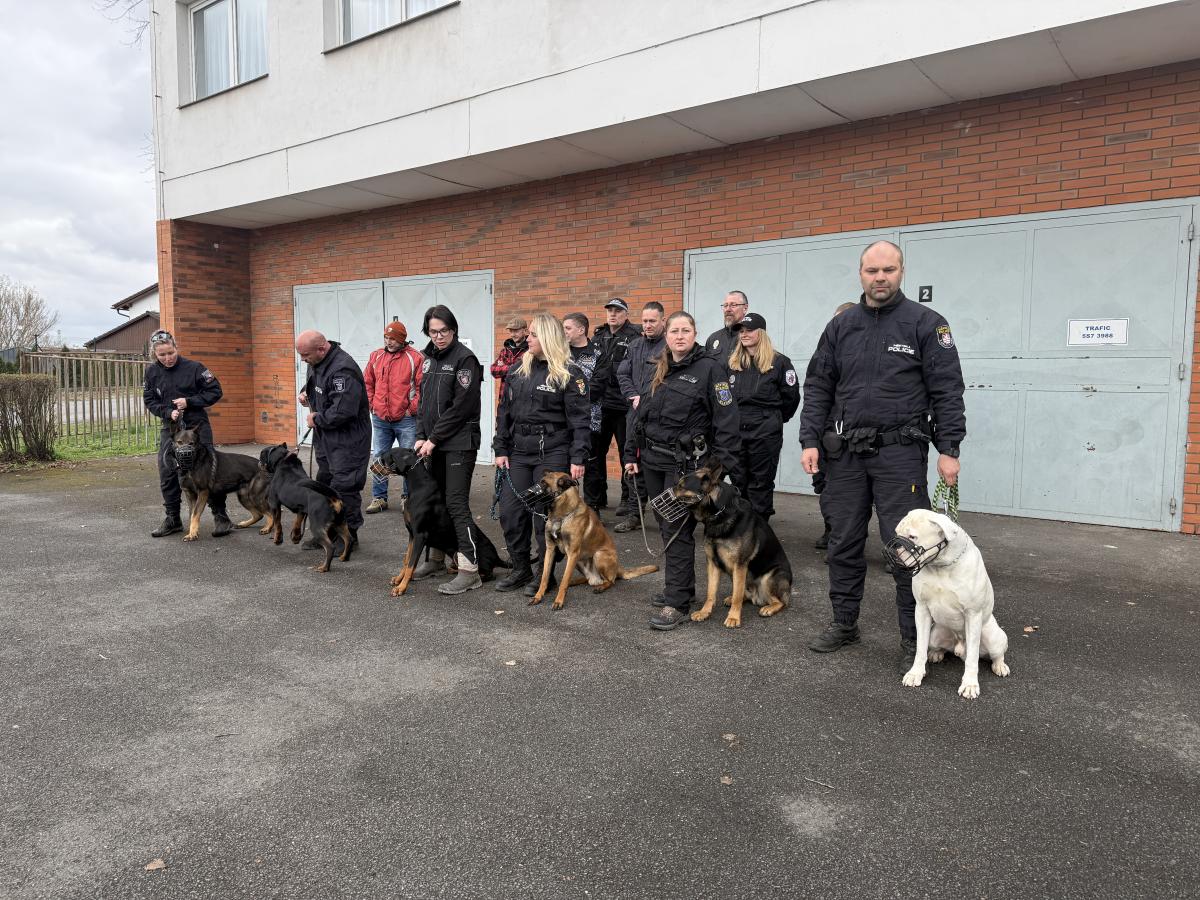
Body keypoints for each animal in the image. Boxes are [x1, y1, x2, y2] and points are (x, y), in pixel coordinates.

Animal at [259, 443, 352, 573]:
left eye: (261, 455)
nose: (258, 462)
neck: (283, 460)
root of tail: (333, 498)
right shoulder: (301, 510)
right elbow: (297, 523)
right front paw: (296, 537)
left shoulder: (274, 504)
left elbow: (277, 524)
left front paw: (278, 539)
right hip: (339, 523)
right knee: (349, 539)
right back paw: (344, 557)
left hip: (317, 526)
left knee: (330, 547)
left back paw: (324, 567)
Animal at [370, 447, 510, 595]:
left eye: (383, 458)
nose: (371, 467)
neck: (418, 486)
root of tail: (496, 557)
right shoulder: (411, 534)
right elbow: (406, 559)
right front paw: (398, 579)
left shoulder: (420, 535)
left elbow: (411, 564)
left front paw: (401, 588)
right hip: (454, 554)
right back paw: (453, 569)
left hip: (467, 555)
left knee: (489, 574)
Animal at [528, 472, 658, 609]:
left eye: (543, 484)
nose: (528, 492)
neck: (561, 517)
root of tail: (618, 568)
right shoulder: (551, 550)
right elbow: (544, 577)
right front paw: (537, 596)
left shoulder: (572, 553)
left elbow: (563, 582)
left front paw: (559, 601)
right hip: (577, 560)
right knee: (589, 579)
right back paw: (575, 581)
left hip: (597, 555)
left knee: (610, 581)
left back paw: (600, 587)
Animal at [670, 460, 791, 628]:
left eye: (682, 486)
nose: (669, 491)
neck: (720, 514)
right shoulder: (713, 563)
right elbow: (711, 592)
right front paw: (704, 612)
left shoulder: (740, 565)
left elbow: (737, 596)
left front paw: (733, 617)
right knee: (744, 594)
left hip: (769, 577)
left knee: (780, 601)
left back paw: (769, 608)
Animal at [890, 508, 1010, 699]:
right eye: (896, 533)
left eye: (912, 537)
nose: (895, 547)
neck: (941, 565)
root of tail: (959, 646)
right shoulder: (921, 610)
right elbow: (920, 648)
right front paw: (916, 673)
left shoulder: (973, 615)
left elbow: (973, 658)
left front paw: (969, 685)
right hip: (935, 633)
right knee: (937, 646)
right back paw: (935, 654)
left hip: (994, 637)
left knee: (996, 654)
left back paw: (999, 666)